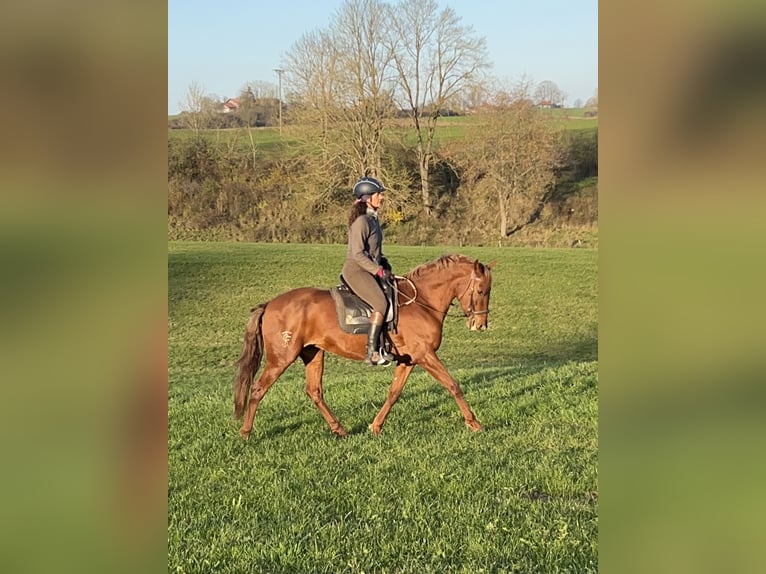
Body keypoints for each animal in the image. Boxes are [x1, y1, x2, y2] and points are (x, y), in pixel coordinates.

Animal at [236, 254, 498, 438]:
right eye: (481, 290)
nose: (480, 325)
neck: (422, 302)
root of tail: (270, 304)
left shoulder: (410, 360)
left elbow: (394, 393)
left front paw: (375, 426)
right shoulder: (425, 355)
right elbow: (453, 385)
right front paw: (474, 422)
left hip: (313, 353)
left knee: (314, 391)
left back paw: (339, 429)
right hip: (282, 358)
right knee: (258, 389)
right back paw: (246, 433)